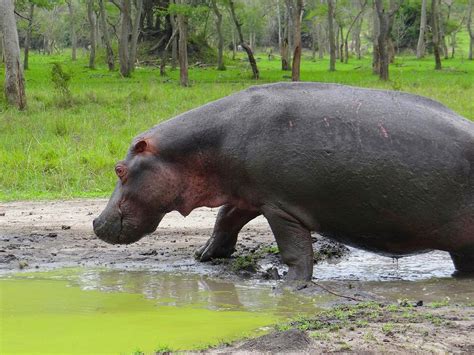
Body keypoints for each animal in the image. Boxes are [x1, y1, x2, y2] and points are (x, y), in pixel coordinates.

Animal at [93, 82, 474, 280]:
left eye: (119, 169)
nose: (96, 222)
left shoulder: (280, 206)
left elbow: (294, 250)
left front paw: (292, 287)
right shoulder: (248, 194)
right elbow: (224, 221)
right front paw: (204, 255)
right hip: (461, 243)